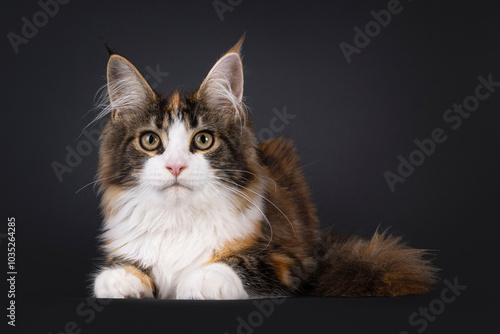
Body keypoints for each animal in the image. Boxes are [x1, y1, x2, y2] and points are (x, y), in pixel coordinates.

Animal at [93, 37, 438, 300]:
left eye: (203, 140)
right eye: (151, 140)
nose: (175, 166)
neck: (179, 219)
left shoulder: (286, 259)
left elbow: (239, 262)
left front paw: (199, 280)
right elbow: (124, 265)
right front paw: (119, 278)